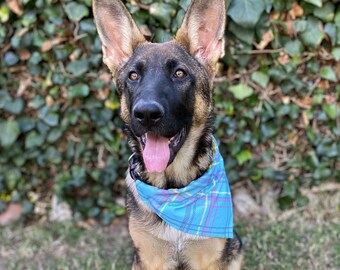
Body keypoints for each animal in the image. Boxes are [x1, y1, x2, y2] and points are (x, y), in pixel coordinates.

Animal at [92, 0, 242, 268]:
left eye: (179, 73)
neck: (173, 189)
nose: (146, 114)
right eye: (133, 76)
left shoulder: (210, 258)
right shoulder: (150, 258)